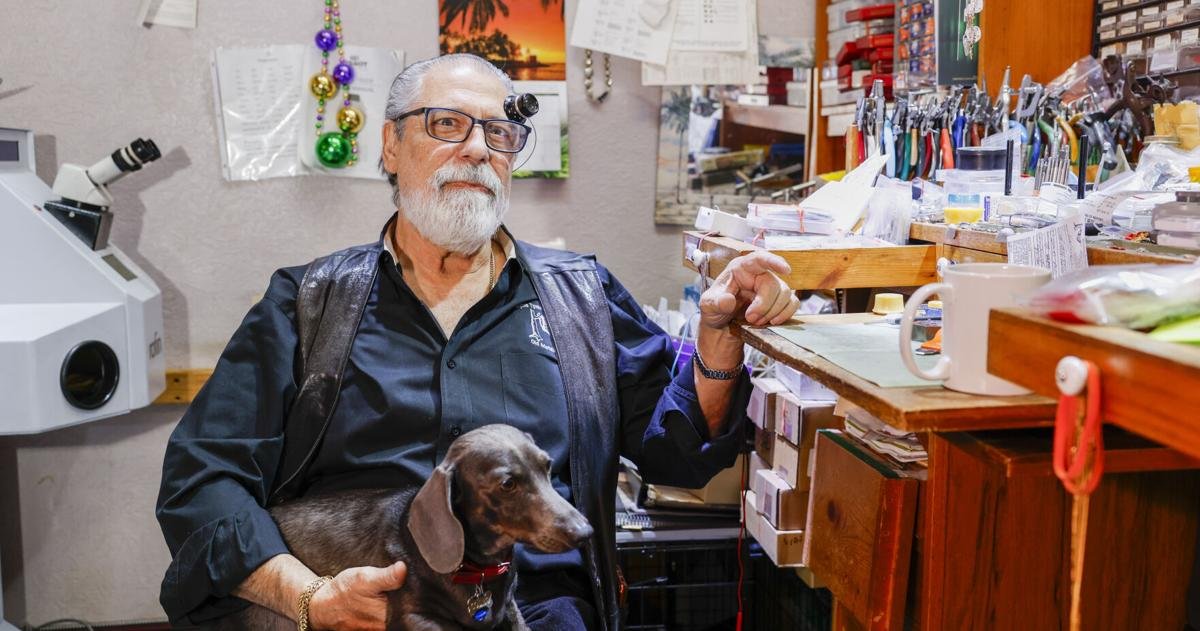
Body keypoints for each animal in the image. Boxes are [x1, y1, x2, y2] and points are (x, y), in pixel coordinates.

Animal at [219, 424, 594, 630]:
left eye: (546, 465)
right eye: (507, 484)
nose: (585, 532)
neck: (475, 569)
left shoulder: (509, 613)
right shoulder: (413, 616)